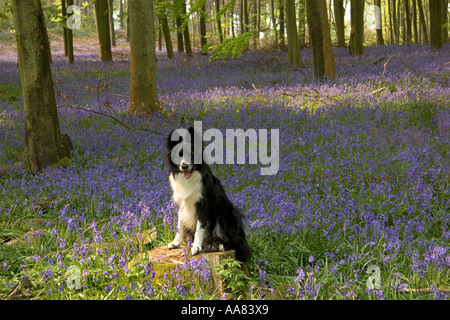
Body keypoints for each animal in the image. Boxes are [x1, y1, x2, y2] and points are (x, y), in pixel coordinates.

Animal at [165, 126, 251, 262]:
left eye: (191, 154)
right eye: (179, 155)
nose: (184, 166)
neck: (189, 178)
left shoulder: (203, 205)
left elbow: (199, 228)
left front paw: (196, 247)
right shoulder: (182, 204)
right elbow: (180, 226)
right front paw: (176, 243)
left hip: (227, 214)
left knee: (234, 242)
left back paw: (221, 246)